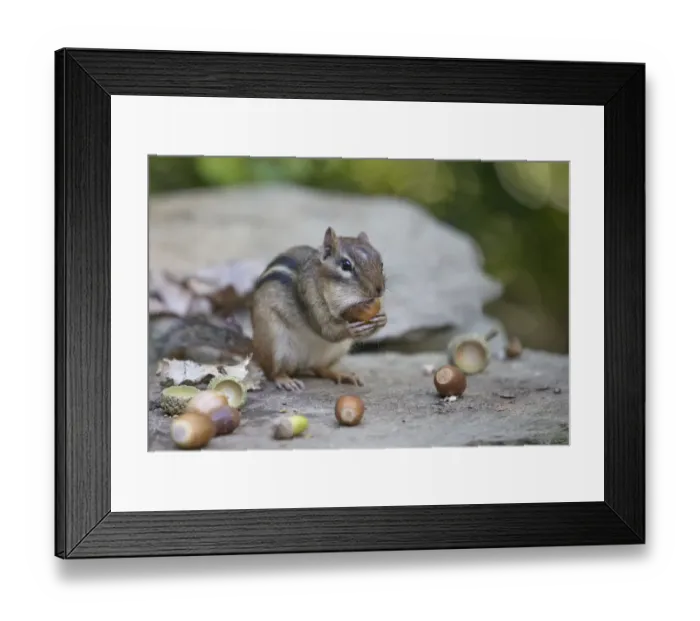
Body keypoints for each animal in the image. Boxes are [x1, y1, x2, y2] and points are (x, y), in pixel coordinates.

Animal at [250, 226, 387, 391]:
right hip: (276, 344)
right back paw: (286, 380)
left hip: (336, 351)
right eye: (346, 265)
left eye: (381, 264)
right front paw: (351, 329)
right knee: (273, 372)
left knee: (320, 369)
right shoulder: (310, 299)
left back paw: (341, 374)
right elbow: (327, 330)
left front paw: (382, 319)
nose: (379, 290)